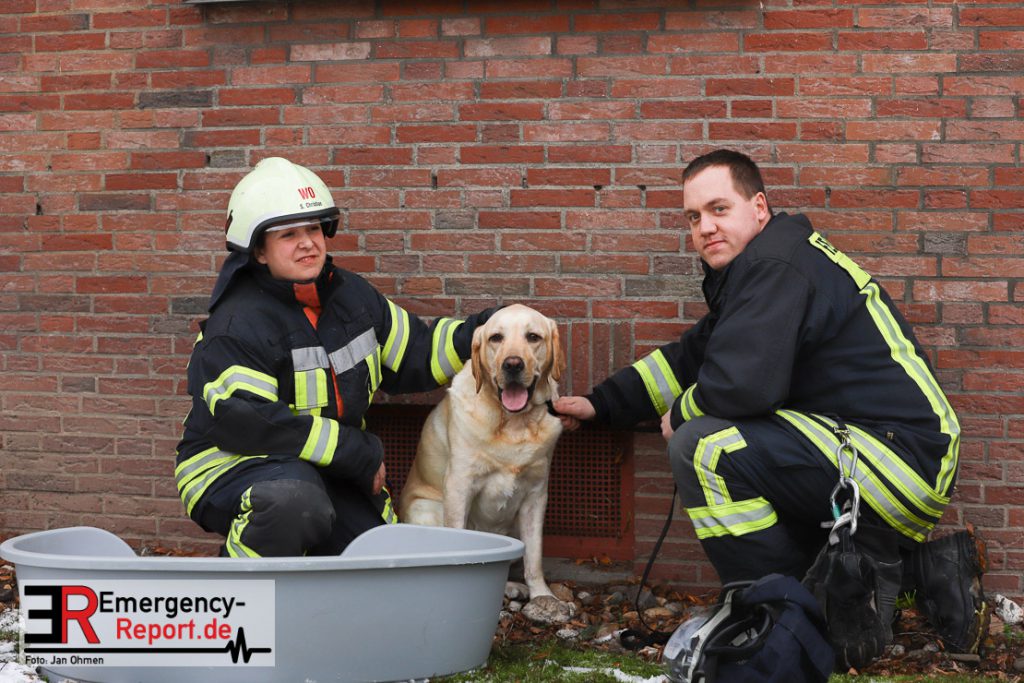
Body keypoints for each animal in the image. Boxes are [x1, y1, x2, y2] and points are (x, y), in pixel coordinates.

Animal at [399, 305, 577, 626]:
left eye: (533, 337)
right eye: (496, 337)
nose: (513, 364)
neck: (513, 423)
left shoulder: (536, 495)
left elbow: (534, 556)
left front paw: (542, 596)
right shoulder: (459, 486)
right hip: (426, 509)